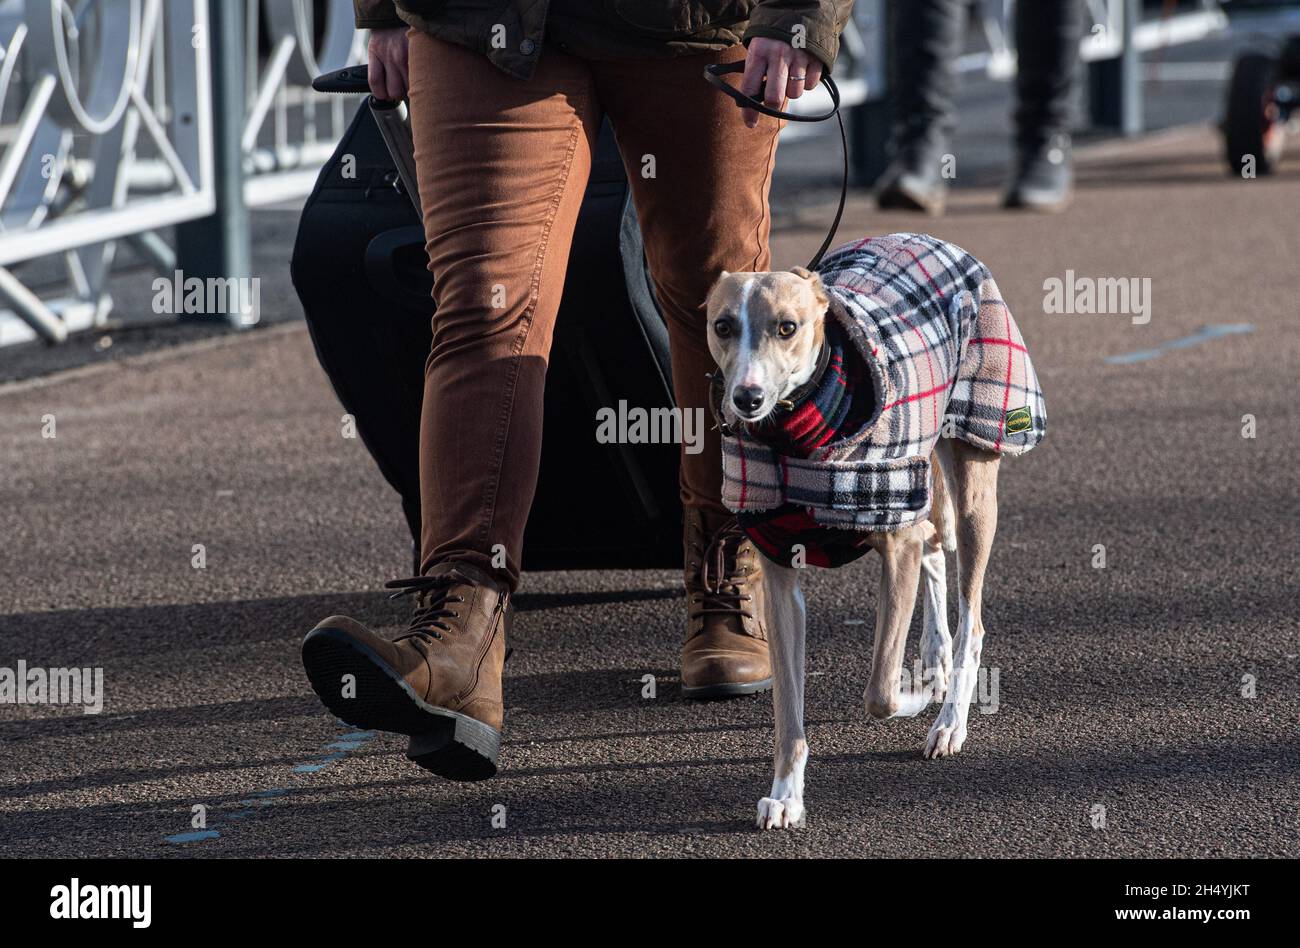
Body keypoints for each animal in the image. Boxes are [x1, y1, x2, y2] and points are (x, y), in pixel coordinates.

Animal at [702, 231, 1045, 827]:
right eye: (723, 325)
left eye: (786, 327)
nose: (747, 399)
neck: (802, 435)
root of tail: (930, 238)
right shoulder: (779, 572)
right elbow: (788, 710)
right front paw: (786, 794)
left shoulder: (895, 541)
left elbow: (879, 692)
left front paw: (916, 696)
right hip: (924, 470)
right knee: (934, 543)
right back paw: (935, 654)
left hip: (976, 468)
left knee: (971, 610)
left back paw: (948, 716)